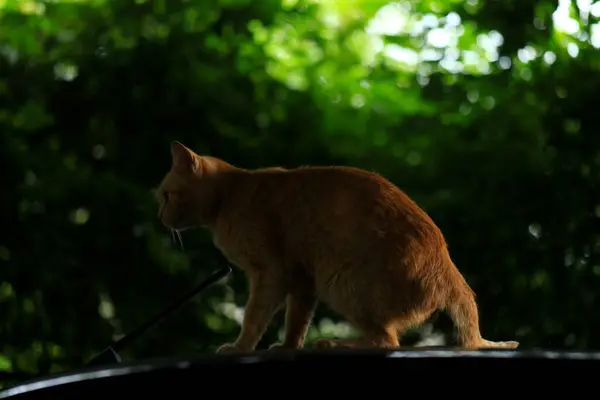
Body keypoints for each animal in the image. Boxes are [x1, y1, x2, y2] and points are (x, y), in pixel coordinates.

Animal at [156, 141, 520, 354]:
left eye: (165, 195)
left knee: (386, 340)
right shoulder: (302, 279)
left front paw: (239, 346)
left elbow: (254, 318)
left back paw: (334, 342)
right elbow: (296, 321)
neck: (230, 195)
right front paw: (287, 346)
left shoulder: (270, 274)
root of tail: (449, 270)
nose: (159, 216)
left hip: (343, 281)